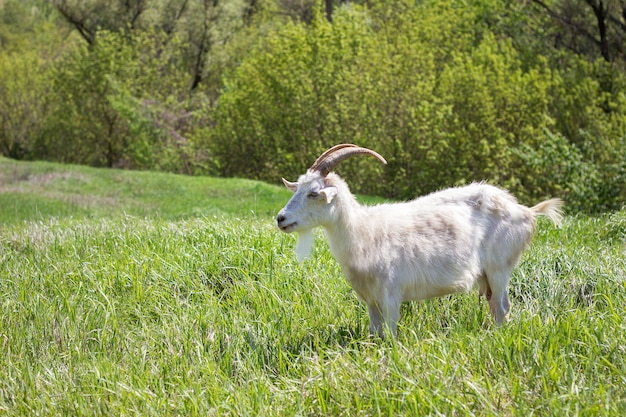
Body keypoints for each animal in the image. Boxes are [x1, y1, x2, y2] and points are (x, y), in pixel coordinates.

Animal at [274, 145, 560, 336]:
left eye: (313, 193)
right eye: (298, 188)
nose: (280, 218)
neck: (364, 230)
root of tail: (526, 211)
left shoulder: (391, 294)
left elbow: (390, 333)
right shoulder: (370, 299)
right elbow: (374, 333)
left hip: (500, 267)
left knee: (502, 305)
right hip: (489, 274)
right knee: (494, 304)